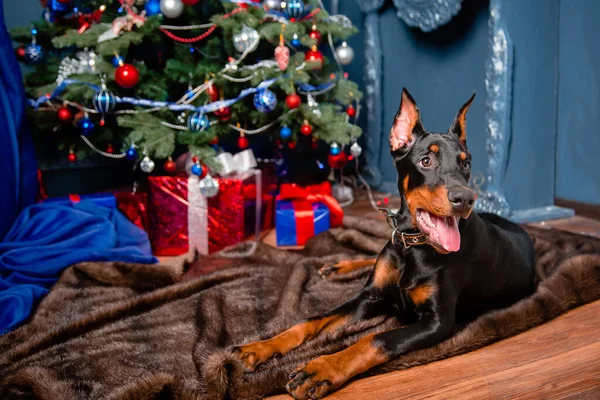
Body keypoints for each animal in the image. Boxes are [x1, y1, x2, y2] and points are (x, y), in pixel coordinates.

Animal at [233, 89, 536, 398]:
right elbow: (312, 319)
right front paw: (261, 346)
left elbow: (375, 339)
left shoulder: (437, 322)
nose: (465, 199)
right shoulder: (369, 297)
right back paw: (339, 266)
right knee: (375, 254)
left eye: (465, 164)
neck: (410, 246)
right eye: (426, 161)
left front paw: (321, 368)